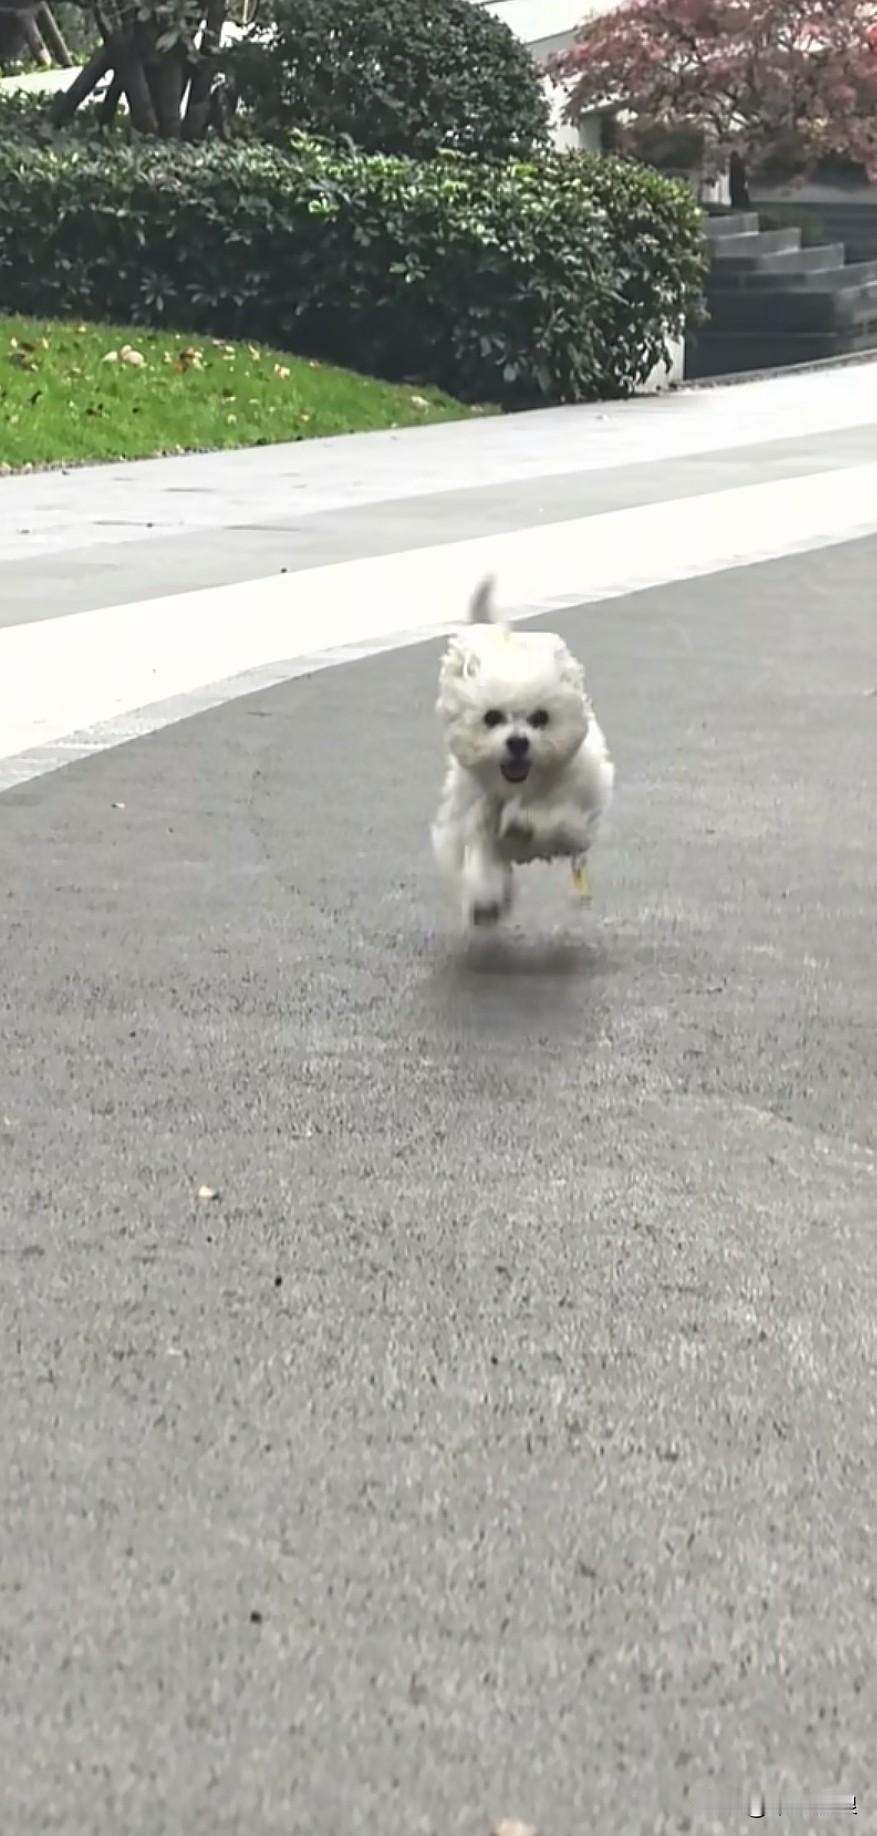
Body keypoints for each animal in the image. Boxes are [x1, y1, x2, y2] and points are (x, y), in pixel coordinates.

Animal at [431, 578, 614, 926]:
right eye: (491, 717)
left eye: (540, 717)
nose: (518, 741)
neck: (519, 789)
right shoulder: (474, 815)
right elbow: (481, 856)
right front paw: (485, 902)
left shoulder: (576, 817)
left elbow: (555, 821)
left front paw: (523, 823)